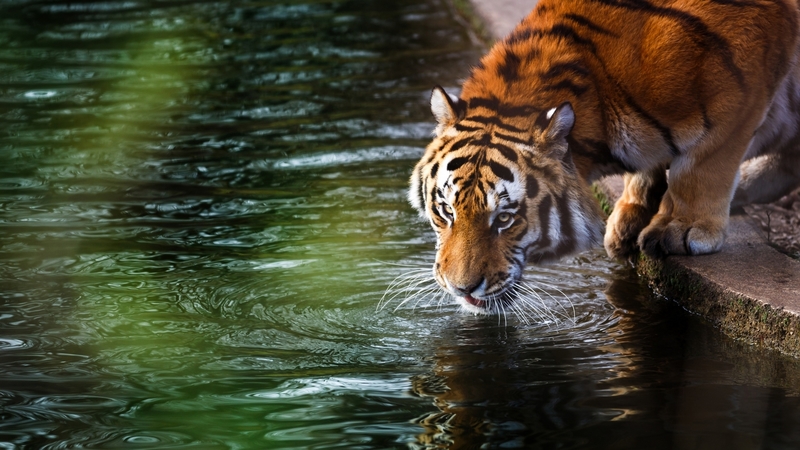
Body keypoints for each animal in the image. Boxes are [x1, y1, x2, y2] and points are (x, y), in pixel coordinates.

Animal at [409, 0, 800, 314]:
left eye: (505, 219)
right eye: (446, 211)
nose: (461, 289)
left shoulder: (741, 91)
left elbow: (702, 165)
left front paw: (680, 227)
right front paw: (630, 216)